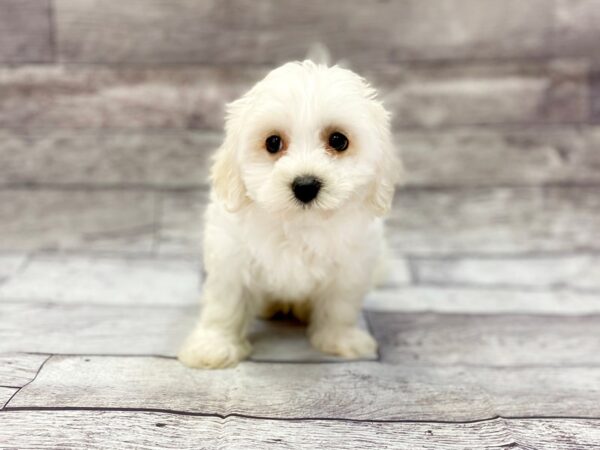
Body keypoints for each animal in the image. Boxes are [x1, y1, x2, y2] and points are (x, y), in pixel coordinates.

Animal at [178, 57, 404, 370]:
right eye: (273, 143)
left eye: (338, 140)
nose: (306, 185)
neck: (298, 225)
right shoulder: (231, 257)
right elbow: (226, 303)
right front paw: (214, 346)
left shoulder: (351, 265)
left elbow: (340, 305)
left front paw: (341, 339)